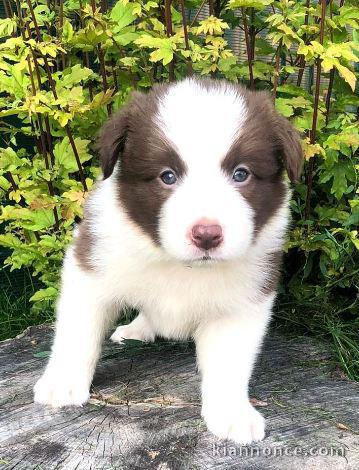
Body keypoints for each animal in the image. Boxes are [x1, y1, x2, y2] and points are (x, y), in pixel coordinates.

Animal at [34, 77, 304, 444]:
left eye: (241, 174)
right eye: (167, 176)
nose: (207, 234)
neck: (182, 265)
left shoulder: (244, 300)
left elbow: (229, 361)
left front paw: (232, 413)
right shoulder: (92, 266)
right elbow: (77, 332)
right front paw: (62, 383)